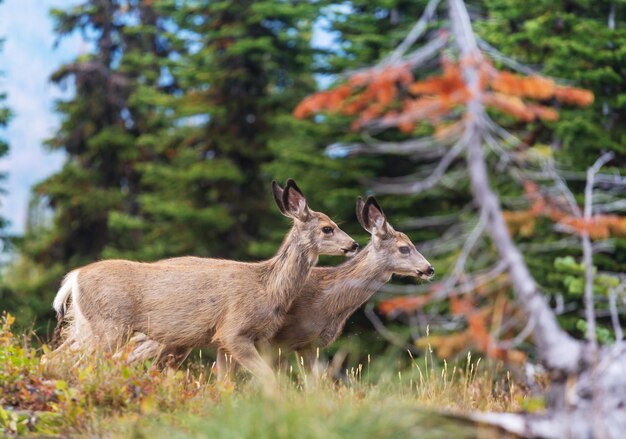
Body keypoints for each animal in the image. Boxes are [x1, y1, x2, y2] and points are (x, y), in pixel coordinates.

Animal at [50, 180, 356, 384]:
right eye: (327, 228)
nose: (353, 244)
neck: (266, 286)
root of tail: (74, 278)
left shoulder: (222, 342)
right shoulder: (233, 331)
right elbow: (269, 379)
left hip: (85, 326)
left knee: (59, 357)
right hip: (109, 326)